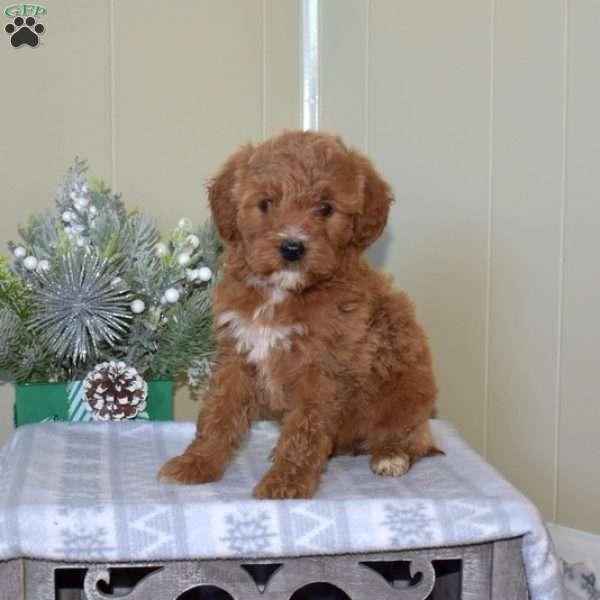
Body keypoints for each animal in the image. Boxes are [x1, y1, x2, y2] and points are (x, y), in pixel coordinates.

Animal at [159, 132, 438, 502]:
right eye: (266, 204)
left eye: (325, 208)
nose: (292, 247)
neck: (281, 292)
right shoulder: (237, 353)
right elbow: (219, 412)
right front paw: (198, 463)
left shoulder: (321, 369)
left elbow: (305, 429)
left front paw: (286, 481)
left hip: (410, 393)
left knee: (414, 438)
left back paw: (392, 455)